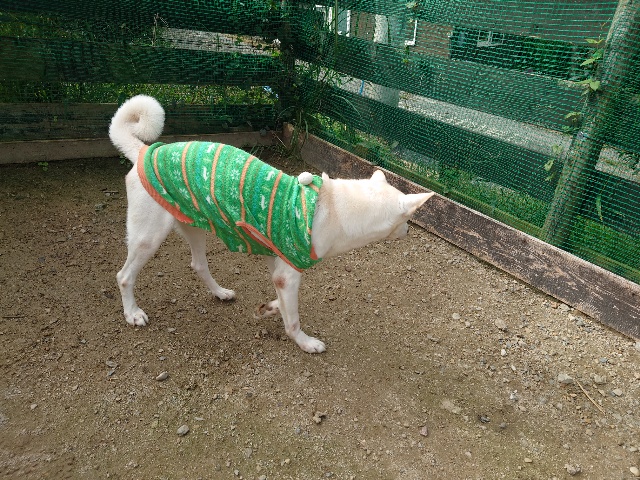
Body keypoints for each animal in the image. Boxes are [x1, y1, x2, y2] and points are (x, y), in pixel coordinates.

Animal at [109, 95, 433, 353]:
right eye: (408, 220)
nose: (408, 231)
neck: (334, 208)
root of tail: (143, 151)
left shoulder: (276, 262)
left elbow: (281, 303)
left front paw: (270, 308)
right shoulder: (288, 275)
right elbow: (293, 321)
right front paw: (306, 343)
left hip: (193, 224)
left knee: (198, 264)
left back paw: (220, 293)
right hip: (148, 236)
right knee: (124, 276)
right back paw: (133, 313)